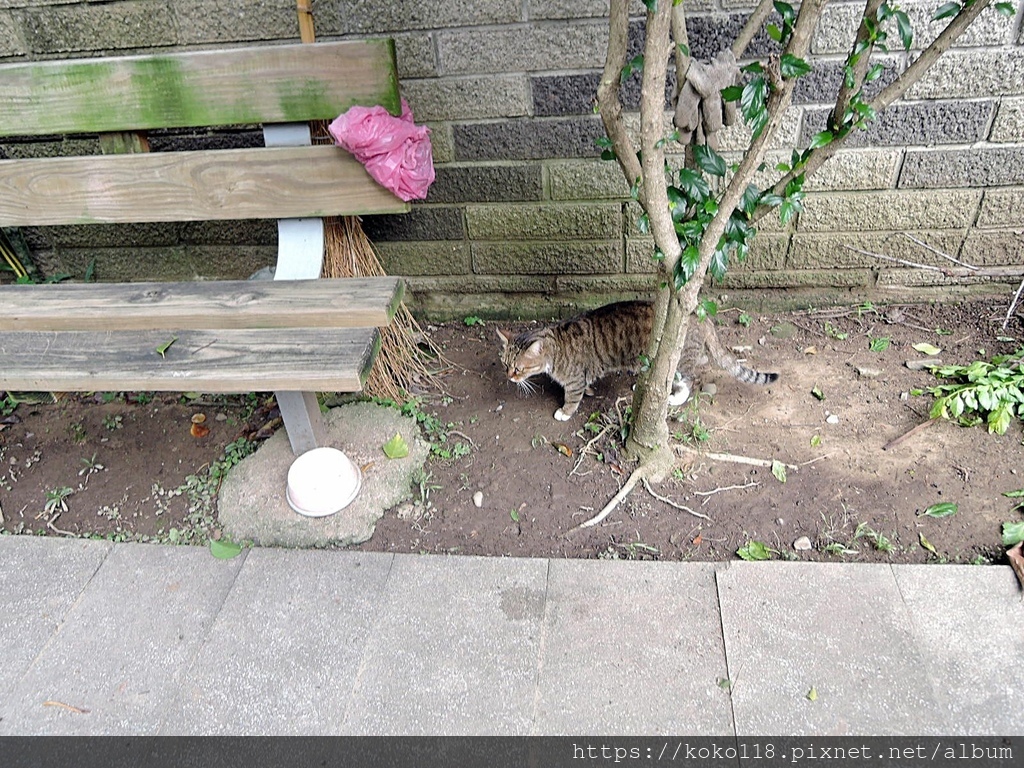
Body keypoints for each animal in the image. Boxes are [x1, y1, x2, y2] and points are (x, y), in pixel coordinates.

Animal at [495, 301, 774, 421]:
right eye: (505, 365)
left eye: (518, 368)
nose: (508, 377)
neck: (556, 347)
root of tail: (700, 315)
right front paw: (590, 390)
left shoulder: (573, 381)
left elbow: (572, 397)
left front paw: (565, 412)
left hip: (679, 359)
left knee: (689, 379)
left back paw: (674, 396)